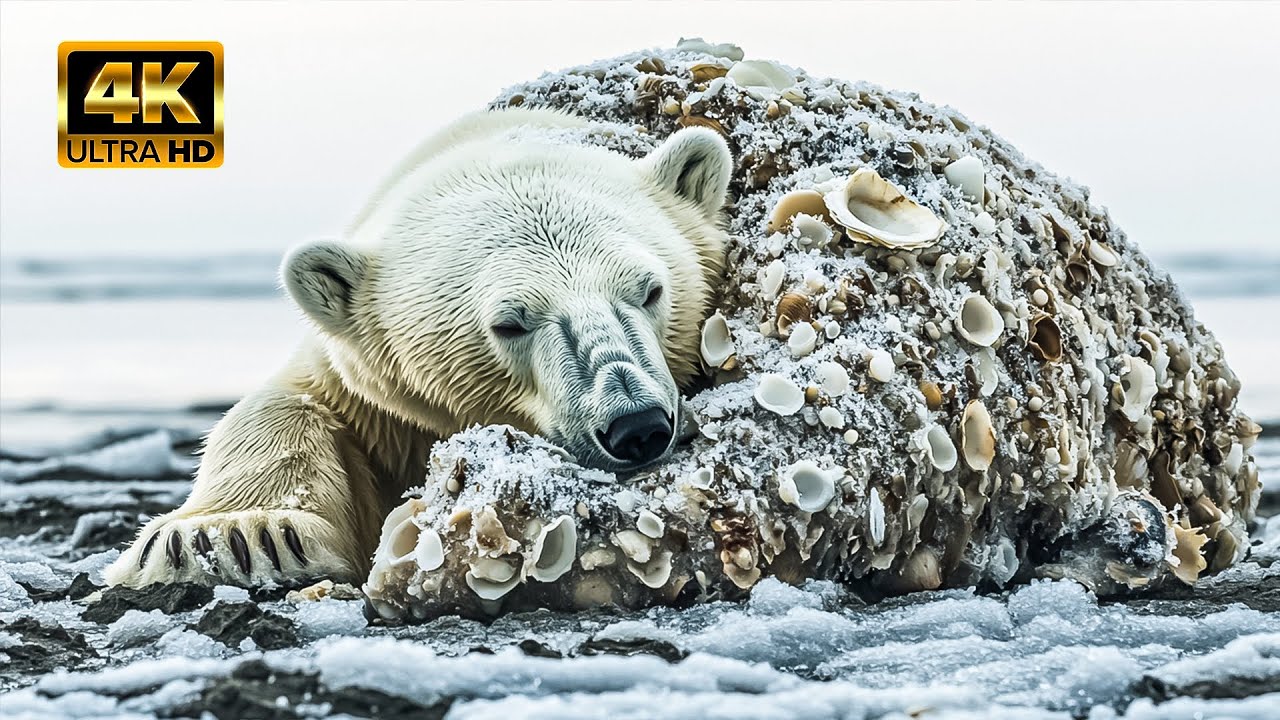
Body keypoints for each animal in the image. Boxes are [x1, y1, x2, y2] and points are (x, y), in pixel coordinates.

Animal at [104, 108, 733, 588]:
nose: (637, 425)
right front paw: (232, 536)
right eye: (509, 323)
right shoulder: (372, 387)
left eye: (650, 290)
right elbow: (285, 404)